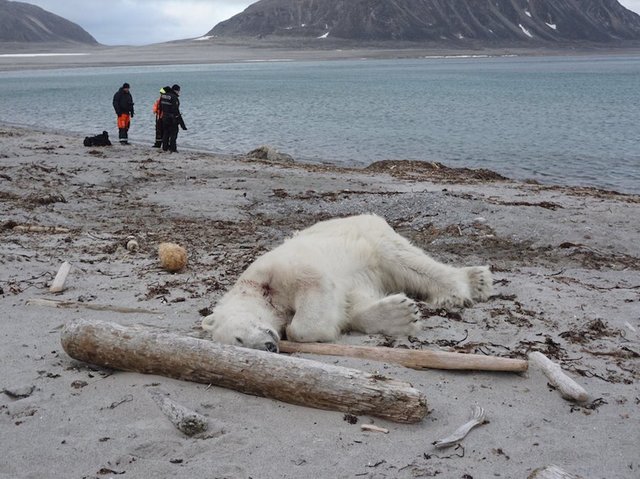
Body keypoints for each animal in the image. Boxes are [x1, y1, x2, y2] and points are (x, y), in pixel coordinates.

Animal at [202, 214, 492, 352]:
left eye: (238, 337)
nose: (269, 346)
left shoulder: (277, 270)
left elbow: (311, 292)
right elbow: (351, 305)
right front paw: (400, 314)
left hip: (371, 237)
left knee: (405, 260)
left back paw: (470, 284)